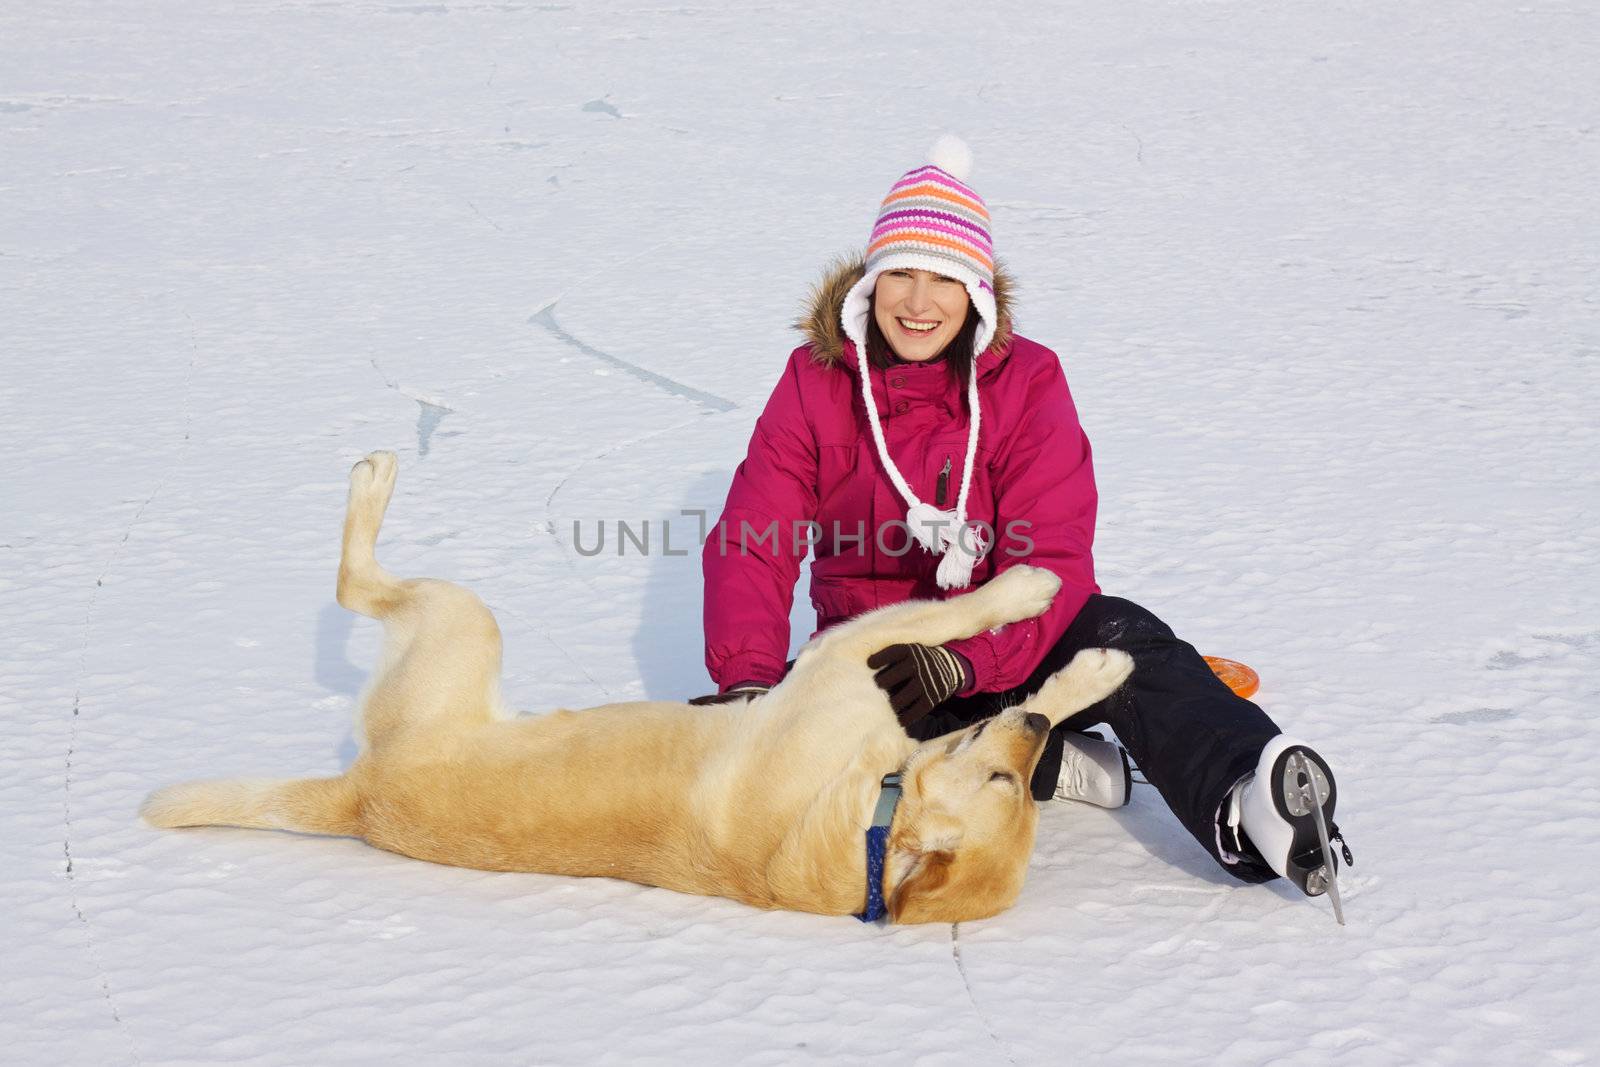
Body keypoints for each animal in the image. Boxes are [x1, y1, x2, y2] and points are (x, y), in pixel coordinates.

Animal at [144, 451, 1132, 927]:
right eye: (1007, 783)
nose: (1030, 727)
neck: (870, 829)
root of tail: (358, 794)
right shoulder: (846, 661)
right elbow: (958, 618)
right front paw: (1050, 612)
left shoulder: (852, 671)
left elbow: (965, 634)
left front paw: (1069, 650)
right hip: (466, 622)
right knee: (356, 581)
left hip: (461, 627)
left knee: (357, 584)